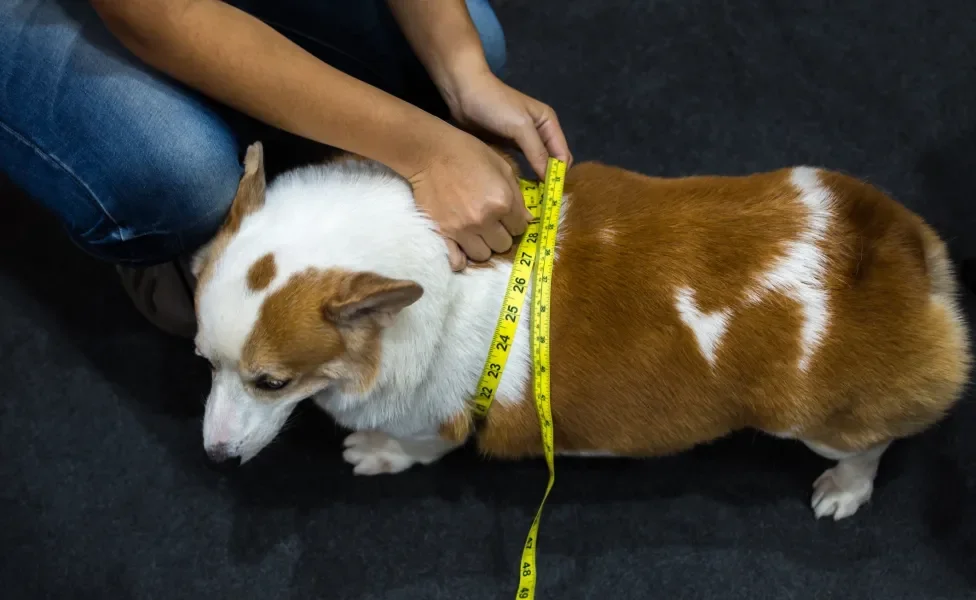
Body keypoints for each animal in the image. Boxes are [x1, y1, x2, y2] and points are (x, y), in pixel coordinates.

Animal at [189, 142, 968, 520]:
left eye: (271, 382)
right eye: (203, 361)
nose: (215, 458)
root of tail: (899, 250)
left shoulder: (434, 422)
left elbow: (415, 448)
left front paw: (374, 453)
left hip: (816, 423)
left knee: (873, 443)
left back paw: (844, 489)